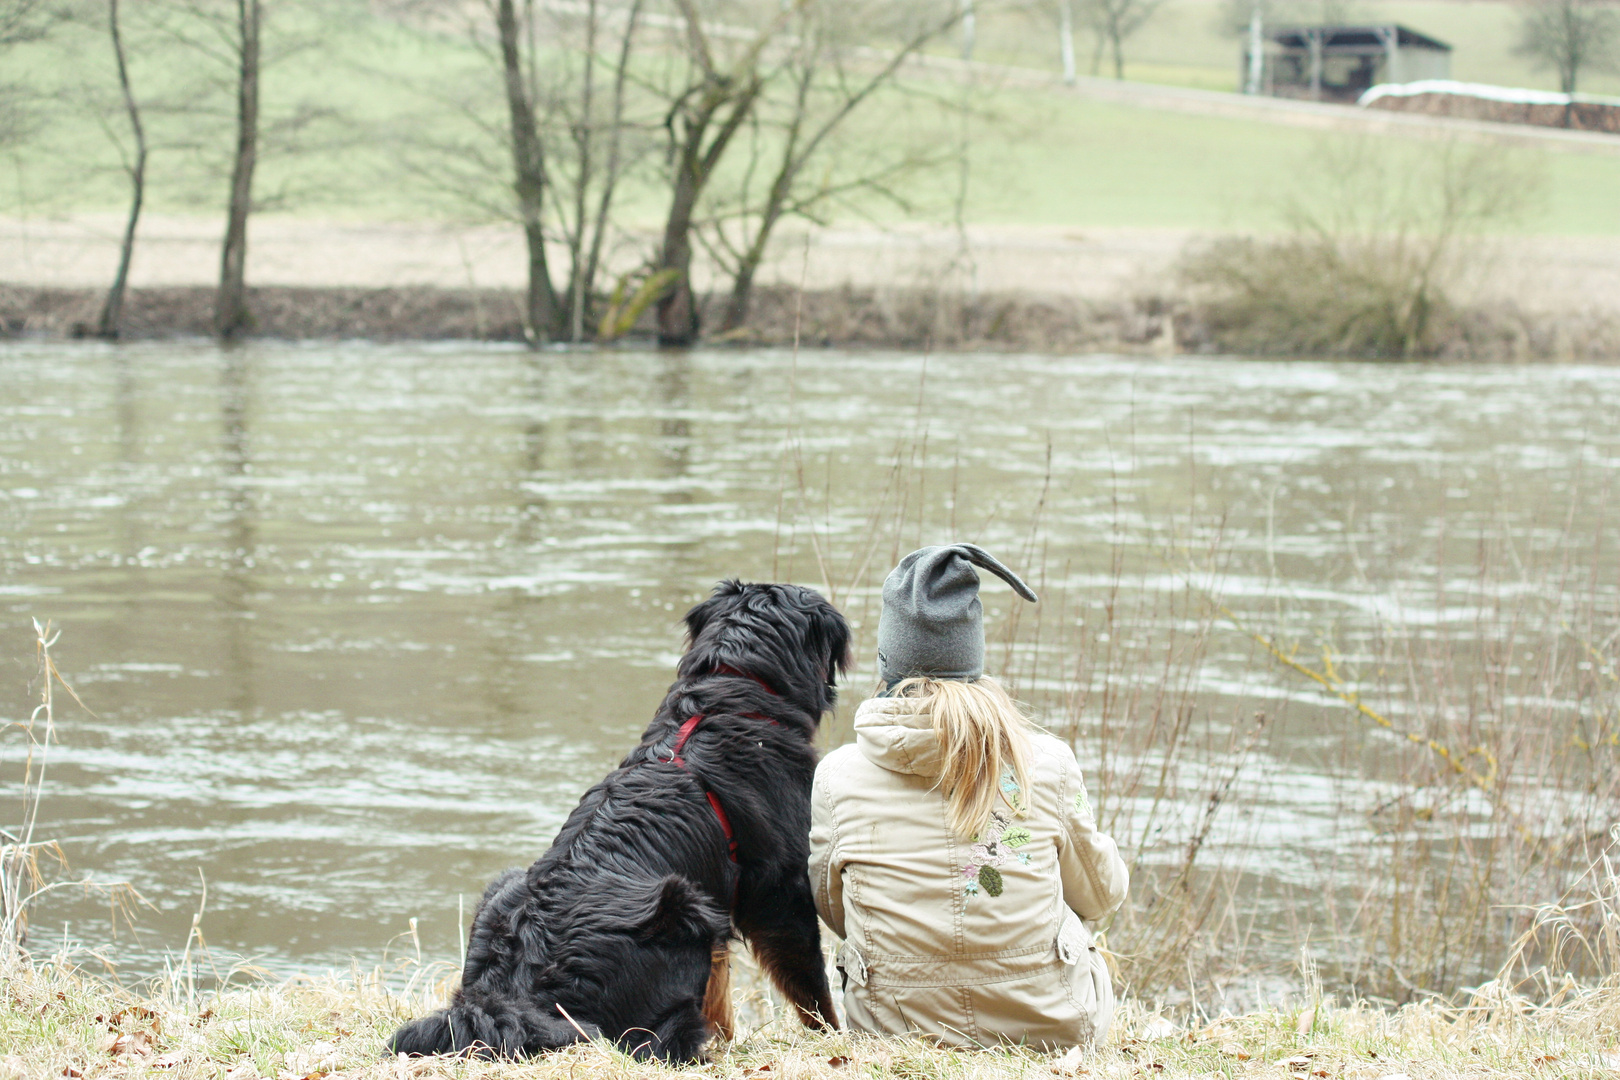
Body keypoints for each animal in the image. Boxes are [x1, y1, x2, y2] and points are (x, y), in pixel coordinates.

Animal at [388, 586, 848, 1062]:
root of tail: (516, 997)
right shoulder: (782, 887)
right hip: (682, 907)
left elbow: (722, 988)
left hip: (509, 886)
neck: (730, 694)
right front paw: (834, 1036)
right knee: (657, 1040)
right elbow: (811, 989)